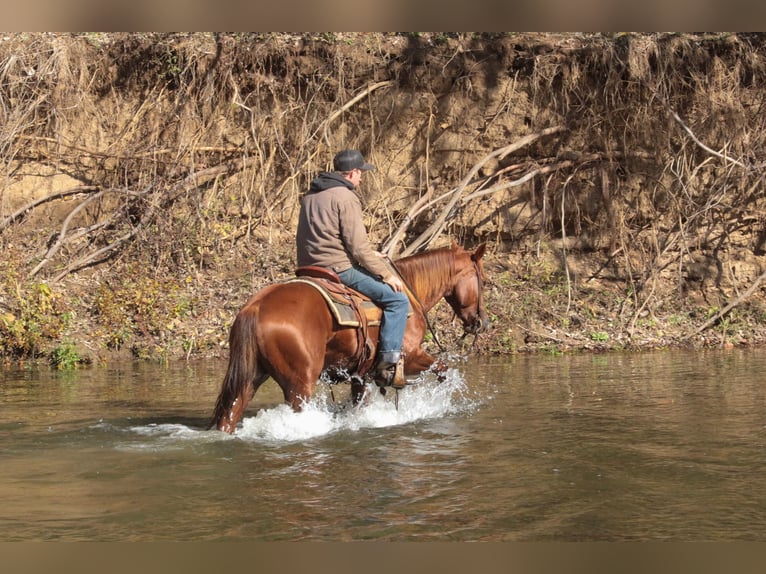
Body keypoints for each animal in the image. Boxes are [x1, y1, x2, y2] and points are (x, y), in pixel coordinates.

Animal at [209, 241, 489, 433]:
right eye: (484, 281)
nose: (482, 323)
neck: (409, 295)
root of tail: (255, 307)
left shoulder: (361, 376)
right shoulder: (409, 357)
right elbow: (443, 370)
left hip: (251, 378)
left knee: (229, 415)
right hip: (299, 385)